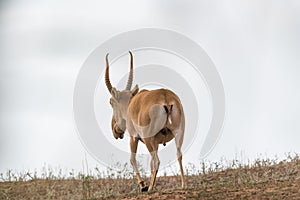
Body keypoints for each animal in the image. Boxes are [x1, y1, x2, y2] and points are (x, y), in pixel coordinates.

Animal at [105, 51, 185, 191]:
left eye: (111, 102)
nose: (115, 130)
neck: (132, 103)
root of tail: (165, 97)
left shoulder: (134, 137)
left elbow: (132, 159)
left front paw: (143, 185)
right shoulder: (156, 143)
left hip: (148, 139)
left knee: (157, 160)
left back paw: (150, 188)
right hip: (178, 134)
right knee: (178, 154)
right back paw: (183, 185)